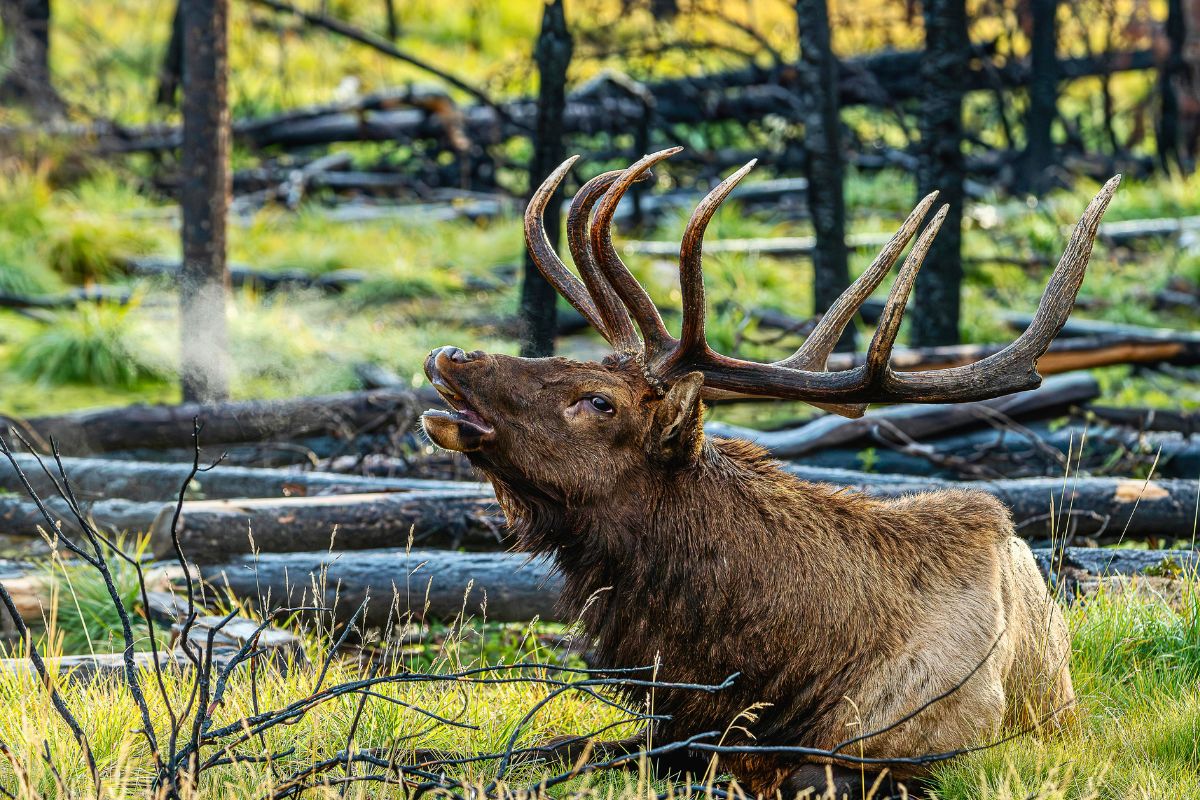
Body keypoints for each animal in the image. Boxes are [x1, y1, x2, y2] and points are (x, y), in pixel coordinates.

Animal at [421, 148, 1120, 798]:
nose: (451, 355)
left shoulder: (928, 758)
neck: (775, 674)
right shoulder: (676, 727)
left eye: (598, 400)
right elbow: (547, 749)